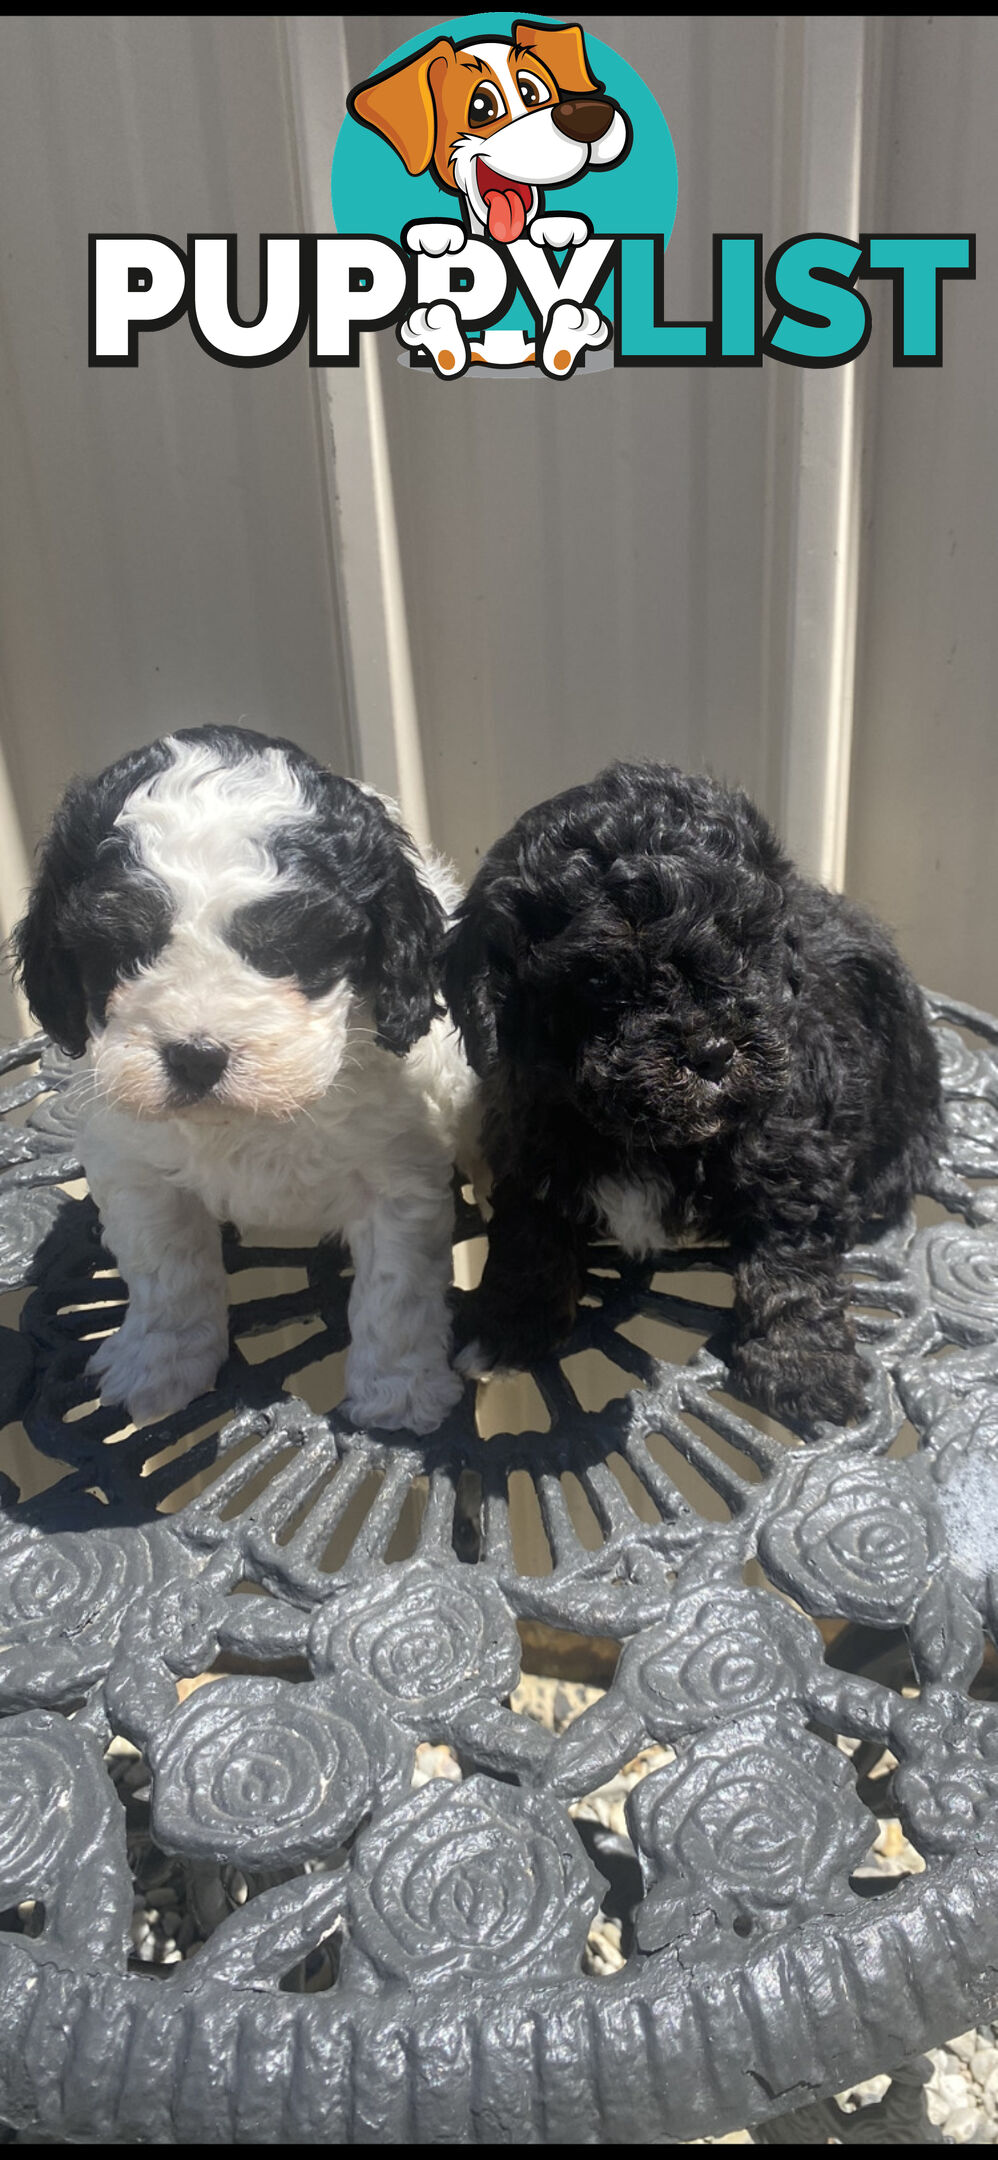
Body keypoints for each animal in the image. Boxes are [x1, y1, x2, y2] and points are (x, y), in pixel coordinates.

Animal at [13, 725, 477, 1434]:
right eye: (123, 947)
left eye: (287, 946)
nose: (196, 1056)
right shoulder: (137, 1168)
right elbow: (167, 1273)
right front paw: (159, 1363)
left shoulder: (398, 1172)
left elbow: (395, 1291)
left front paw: (399, 1392)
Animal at [444, 764, 941, 1434]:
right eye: (601, 975)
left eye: (745, 947)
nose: (713, 1052)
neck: (650, 1137)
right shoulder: (530, 1133)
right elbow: (530, 1236)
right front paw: (507, 1329)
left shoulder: (794, 1155)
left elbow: (792, 1262)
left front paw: (803, 1366)